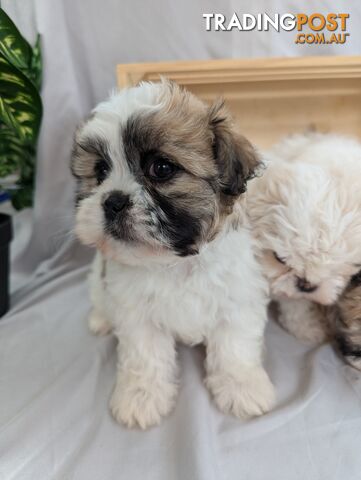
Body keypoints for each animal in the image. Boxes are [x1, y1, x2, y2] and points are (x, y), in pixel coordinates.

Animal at [70, 80, 274, 430]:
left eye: (162, 168)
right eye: (100, 170)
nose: (113, 201)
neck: (175, 263)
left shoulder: (237, 300)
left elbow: (234, 348)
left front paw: (242, 386)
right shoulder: (137, 315)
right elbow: (145, 357)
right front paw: (141, 397)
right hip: (99, 278)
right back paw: (101, 319)